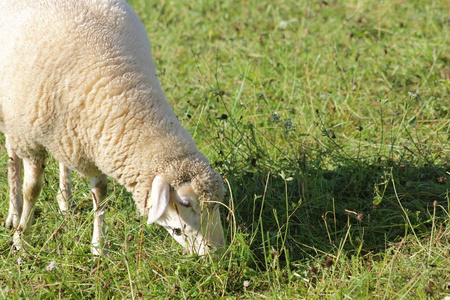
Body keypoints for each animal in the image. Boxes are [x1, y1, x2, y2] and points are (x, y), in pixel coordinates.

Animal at [0, 0, 225, 255]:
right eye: (186, 203)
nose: (218, 250)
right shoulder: (29, 139)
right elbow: (32, 189)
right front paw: (21, 241)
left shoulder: (96, 141)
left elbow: (100, 193)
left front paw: (99, 247)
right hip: (11, 115)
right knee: (12, 157)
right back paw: (14, 212)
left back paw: (65, 199)